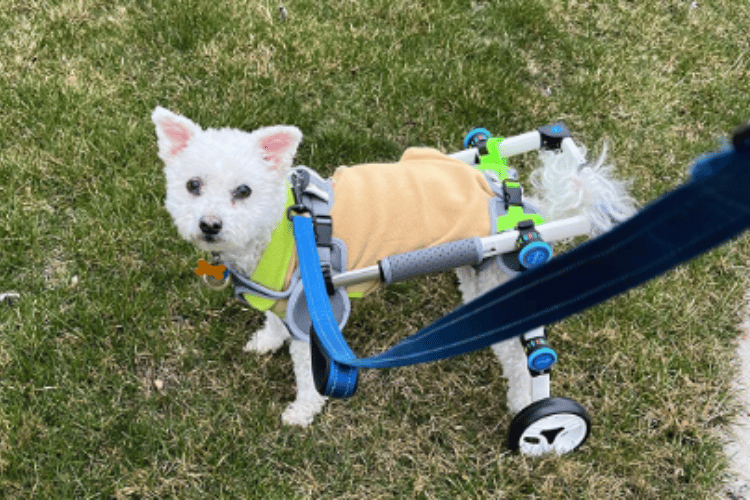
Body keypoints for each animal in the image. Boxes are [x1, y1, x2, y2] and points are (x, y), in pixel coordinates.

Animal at [153, 106, 636, 426]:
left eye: (244, 191)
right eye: (192, 185)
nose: (210, 225)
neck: (283, 226)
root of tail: (516, 205)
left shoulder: (312, 319)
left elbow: (308, 377)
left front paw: (302, 413)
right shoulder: (279, 299)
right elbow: (272, 323)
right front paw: (264, 341)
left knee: (524, 359)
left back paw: (533, 412)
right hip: (480, 272)